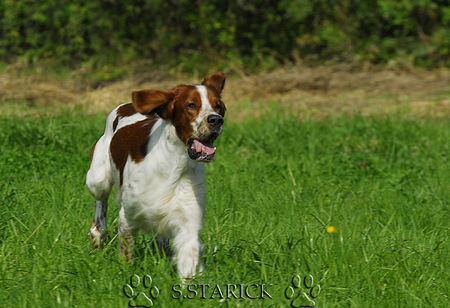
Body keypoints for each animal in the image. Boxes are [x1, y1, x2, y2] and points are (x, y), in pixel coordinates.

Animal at [85, 73, 225, 280]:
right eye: (191, 105)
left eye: (219, 105)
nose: (217, 120)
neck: (174, 164)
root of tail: (126, 105)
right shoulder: (128, 215)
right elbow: (126, 252)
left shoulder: (187, 220)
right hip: (97, 178)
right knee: (100, 204)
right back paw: (98, 233)